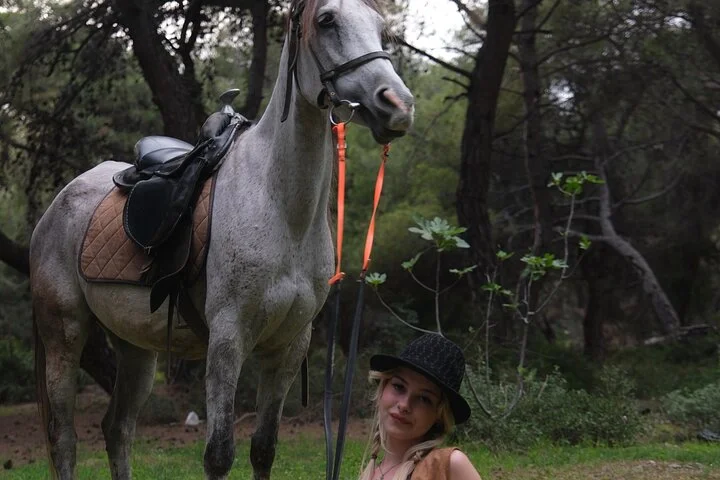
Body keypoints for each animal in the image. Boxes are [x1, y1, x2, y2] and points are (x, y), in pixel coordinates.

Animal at [29, 0, 414, 478]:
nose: (397, 104)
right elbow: (219, 454)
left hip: (136, 348)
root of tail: (56, 206)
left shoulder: (289, 348)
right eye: (326, 20)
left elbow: (263, 449)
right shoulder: (228, 341)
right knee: (63, 439)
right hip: (64, 335)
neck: (281, 210)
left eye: (383, 29)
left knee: (117, 430)